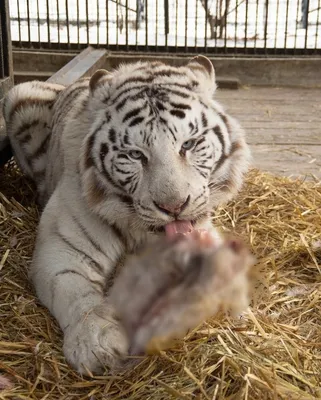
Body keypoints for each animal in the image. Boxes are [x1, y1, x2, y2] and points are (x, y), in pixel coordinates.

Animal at [3, 56, 251, 376]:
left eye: (188, 144)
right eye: (135, 155)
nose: (173, 207)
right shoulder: (63, 251)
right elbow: (77, 294)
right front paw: (97, 346)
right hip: (17, 96)